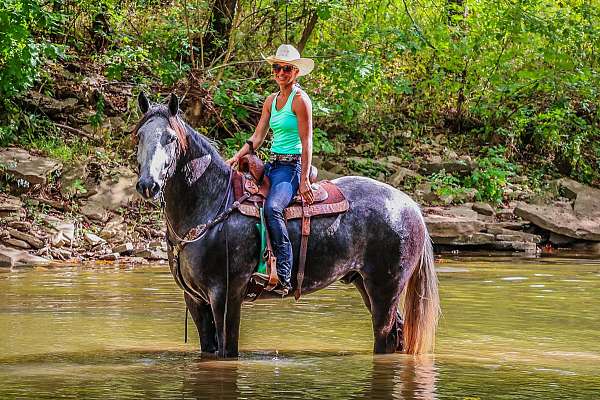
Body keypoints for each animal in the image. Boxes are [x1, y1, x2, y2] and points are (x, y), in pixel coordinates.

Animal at [134, 93, 438, 356]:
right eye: (139, 136)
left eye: (171, 138)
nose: (148, 185)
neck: (212, 203)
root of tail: (411, 206)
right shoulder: (196, 300)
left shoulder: (225, 296)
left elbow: (227, 350)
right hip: (365, 284)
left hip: (385, 289)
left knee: (384, 336)